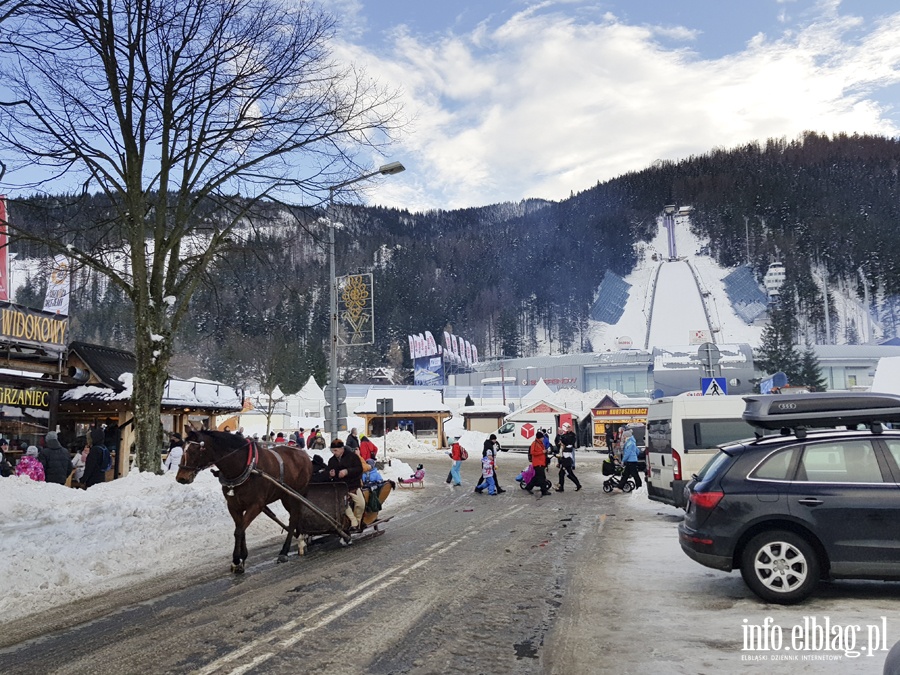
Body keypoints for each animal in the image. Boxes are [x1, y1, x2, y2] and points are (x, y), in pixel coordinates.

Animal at [176, 430, 312, 572]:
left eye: (194, 450)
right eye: (183, 448)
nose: (181, 478)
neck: (244, 466)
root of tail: (303, 454)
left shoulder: (256, 505)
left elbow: (239, 531)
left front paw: (236, 560)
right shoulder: (234, 505)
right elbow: (240, 528)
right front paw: (242, 557)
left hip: (294, 495)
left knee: (294, 519)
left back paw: (287, 550)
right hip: (285, 496)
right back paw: (301, 539)